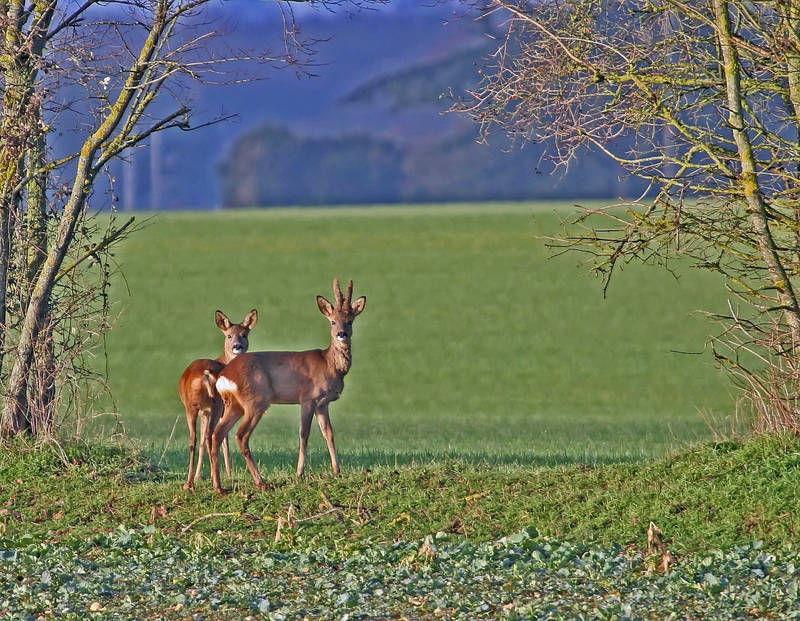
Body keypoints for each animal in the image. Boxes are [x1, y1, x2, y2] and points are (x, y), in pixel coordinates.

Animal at [180, 308, 258, 492]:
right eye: (229, 335)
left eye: (244, 334)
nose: (237, 346)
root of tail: (205, 374)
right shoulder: (220, 409)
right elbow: (225, 441)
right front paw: (228, 473)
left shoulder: (204, 412)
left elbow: (202, 442)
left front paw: (198, 476)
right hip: (217, 404)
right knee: (212, 436)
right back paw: (217, 483)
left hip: (192, 407)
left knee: (194, 439)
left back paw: (189, 484)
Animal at [209, 278, 366, 492]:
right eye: (333, 321)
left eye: (350, 321)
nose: (342, 333)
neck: (329, 363)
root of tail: (224, 375)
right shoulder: (308, 398)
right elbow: (304, 433)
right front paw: (299, 473)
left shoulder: (323, 403)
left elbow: (329, 433)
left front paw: (337, 470)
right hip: (256, 401)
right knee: (241, 435)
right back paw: (261, 482)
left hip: (235, 404)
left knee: (217, 434)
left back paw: (219, 486)